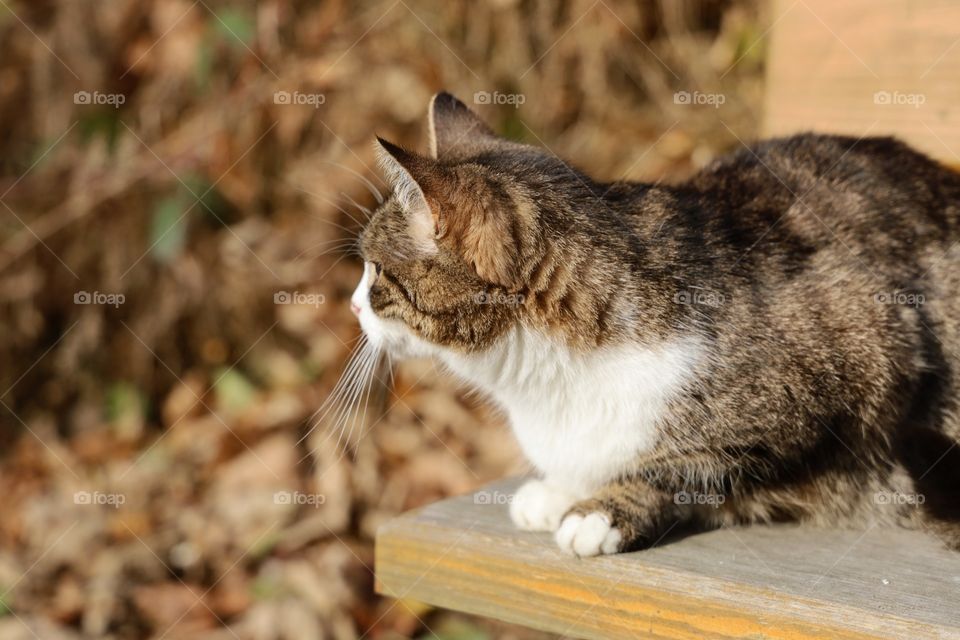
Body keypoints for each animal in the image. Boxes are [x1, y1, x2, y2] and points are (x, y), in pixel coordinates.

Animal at [344, 90, 960, 556]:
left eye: (375, 272)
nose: (351, 306)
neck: (542, 381)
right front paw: (559, 490)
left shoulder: (865, 363)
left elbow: (690, 469)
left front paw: (600, 511)